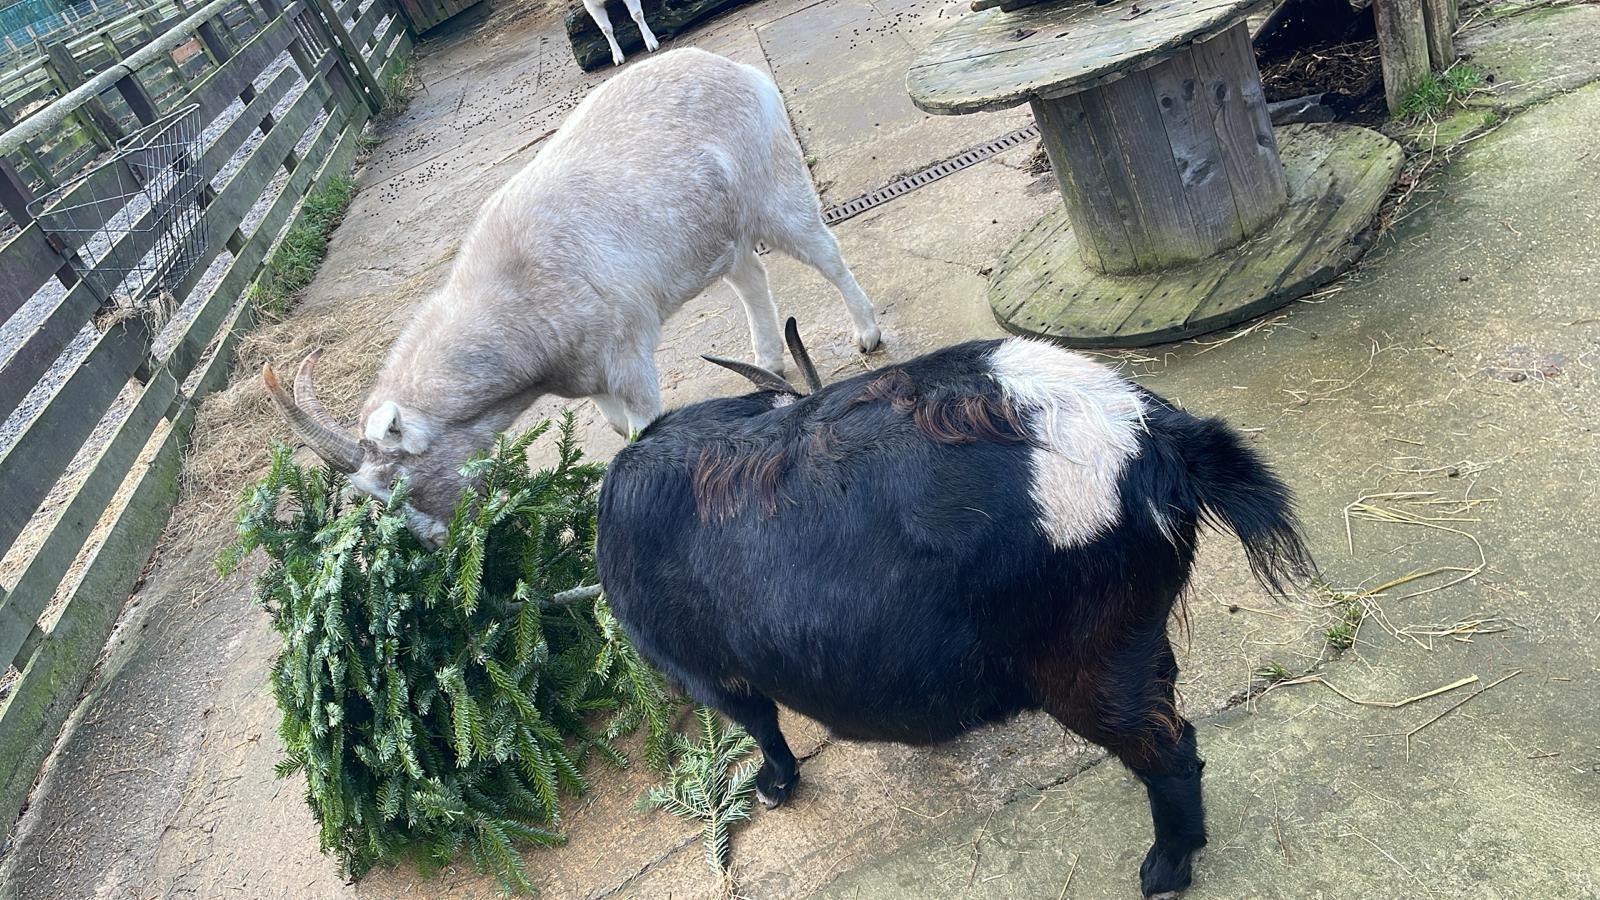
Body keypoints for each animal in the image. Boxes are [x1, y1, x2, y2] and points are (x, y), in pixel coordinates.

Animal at [267, 49, 883, 534]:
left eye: (396, 482)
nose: (441, 544)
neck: (515, 292)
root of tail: (740, 71)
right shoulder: (590, 378)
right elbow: (614, 428)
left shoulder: (629, 361)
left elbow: (644, 428)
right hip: (721, 235)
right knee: (749, 275)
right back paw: (768, 361)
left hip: (776, 192)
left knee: (825, 253)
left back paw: (867, 334)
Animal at [601, 321, 1312, 896]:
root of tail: (1148, 434)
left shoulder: (703, 669)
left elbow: (761, 725)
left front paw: (775, 785)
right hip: (1136, 635)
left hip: (1086, 662)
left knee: (1169, 752)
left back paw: (1165, 869)